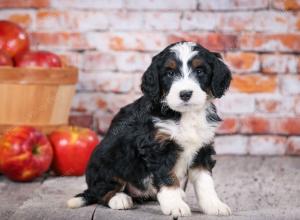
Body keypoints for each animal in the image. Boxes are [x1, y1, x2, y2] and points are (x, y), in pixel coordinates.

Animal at [67, 41, 232, 218]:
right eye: (170, 73)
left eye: (200, 71)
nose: (185, 94)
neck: (184, 115)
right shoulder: (157, 148)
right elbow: (167, 177)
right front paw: (175, 205)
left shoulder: (203, 148)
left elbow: (205, 180)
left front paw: (214, 205)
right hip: (107, 160)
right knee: (102, 191)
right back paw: (120, 199)